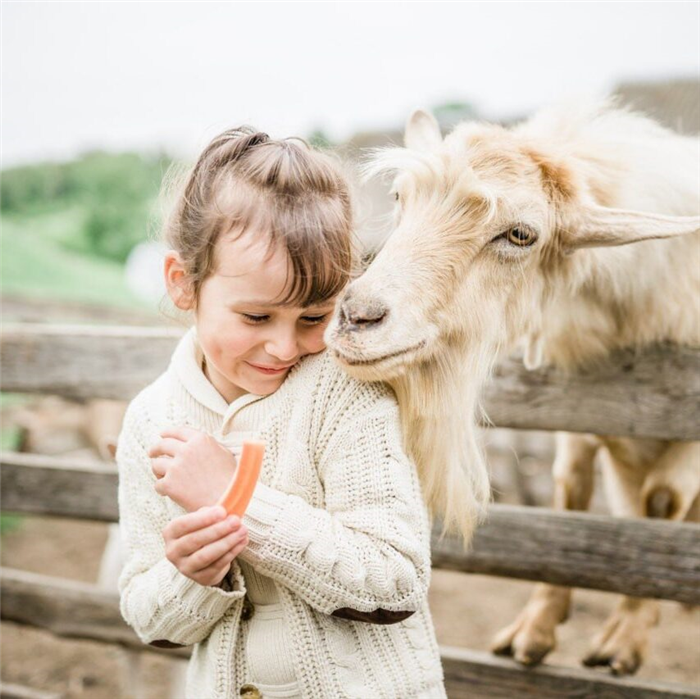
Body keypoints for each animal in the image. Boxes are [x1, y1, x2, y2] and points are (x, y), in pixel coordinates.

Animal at [326, 101, 700, 676]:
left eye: (521, 235)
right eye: (399, 198)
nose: (357, 317)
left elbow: (663, 502)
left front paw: (625, 640)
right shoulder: (580, 414)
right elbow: (569, 491)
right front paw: (535, 630)